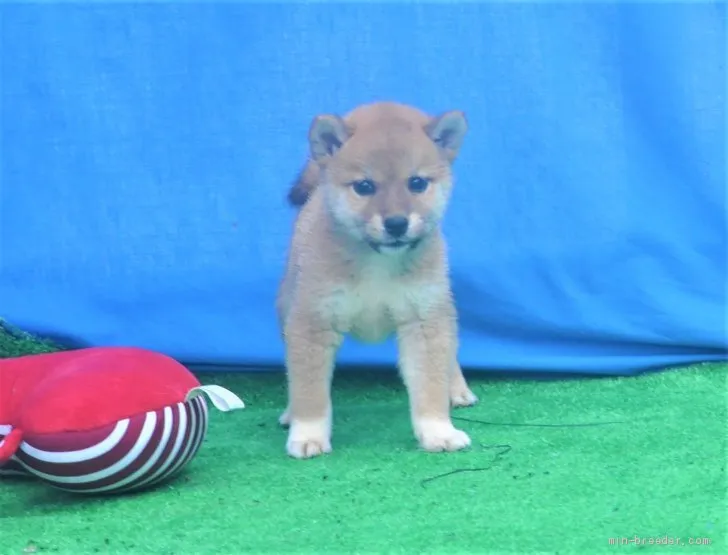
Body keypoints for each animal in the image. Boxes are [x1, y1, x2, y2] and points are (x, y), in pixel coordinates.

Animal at [276, 102, 474, 458]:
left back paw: (457, 389)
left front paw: (438, 430)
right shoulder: (312, 324)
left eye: (417, 183)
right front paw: (308, 433)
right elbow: (310, 391)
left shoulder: (425, 321)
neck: (378, 263)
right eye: (364, 186)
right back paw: (290, 413)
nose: (396, 223)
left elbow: (430, 383)